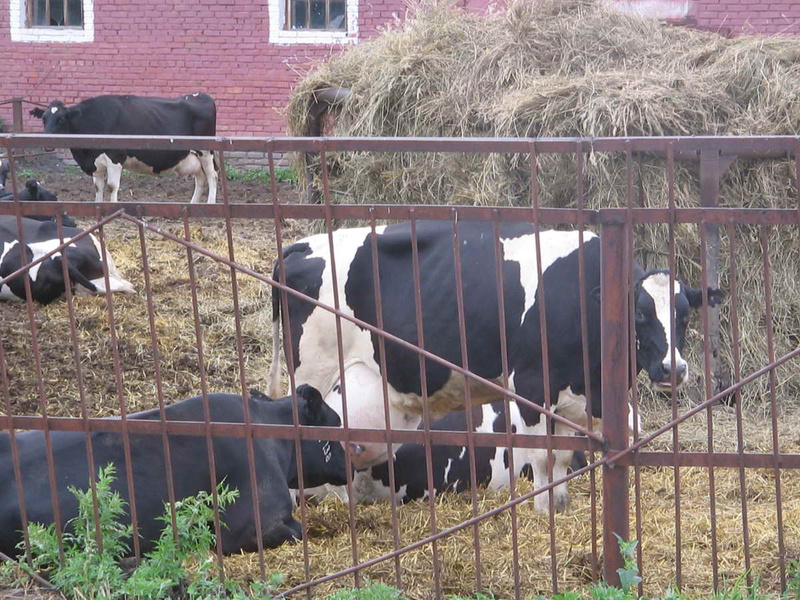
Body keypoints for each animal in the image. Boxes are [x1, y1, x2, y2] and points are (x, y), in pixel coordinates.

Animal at [30, 94, 218, 204]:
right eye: (44, 119)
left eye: (61, 119)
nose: (47, 142)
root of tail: (202, 96)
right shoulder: (96, 163)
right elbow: (98, 188)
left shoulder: (115, 156)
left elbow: (112, 186)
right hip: (193, 157)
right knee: (201, 179)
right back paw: (194, 205)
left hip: (206, 152)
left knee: (212, 176)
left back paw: (210, 204)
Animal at [267, 220, 723, 512]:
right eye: (640, 315)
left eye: (684, 315)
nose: (672, 369)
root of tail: (299, 246)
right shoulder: (532, 383)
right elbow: (542, 458)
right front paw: (544, 509)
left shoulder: (576, 395)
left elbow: (563, 456)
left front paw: (560, 504)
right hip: (314, 372)